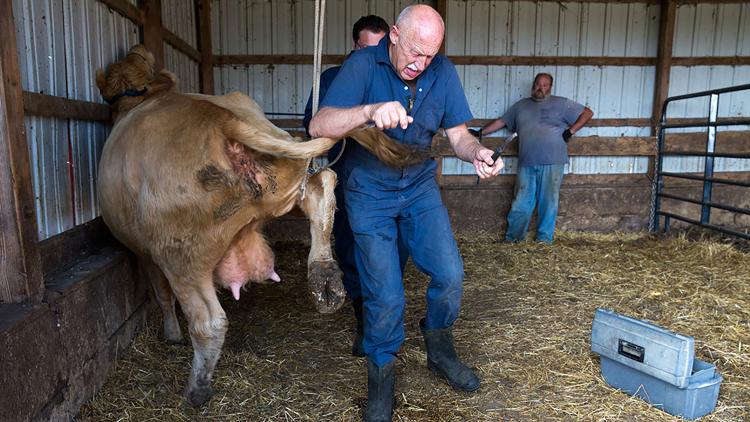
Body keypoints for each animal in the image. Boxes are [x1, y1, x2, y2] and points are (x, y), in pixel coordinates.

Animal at [97, 45, 428, 406]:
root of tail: (223, 120)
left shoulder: (144, 252)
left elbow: (161, 295)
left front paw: (172, 335)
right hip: (286, 173)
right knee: (321, 184)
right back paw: (324, 278)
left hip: (181, 253)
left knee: (209, 322)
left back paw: (197, 389)